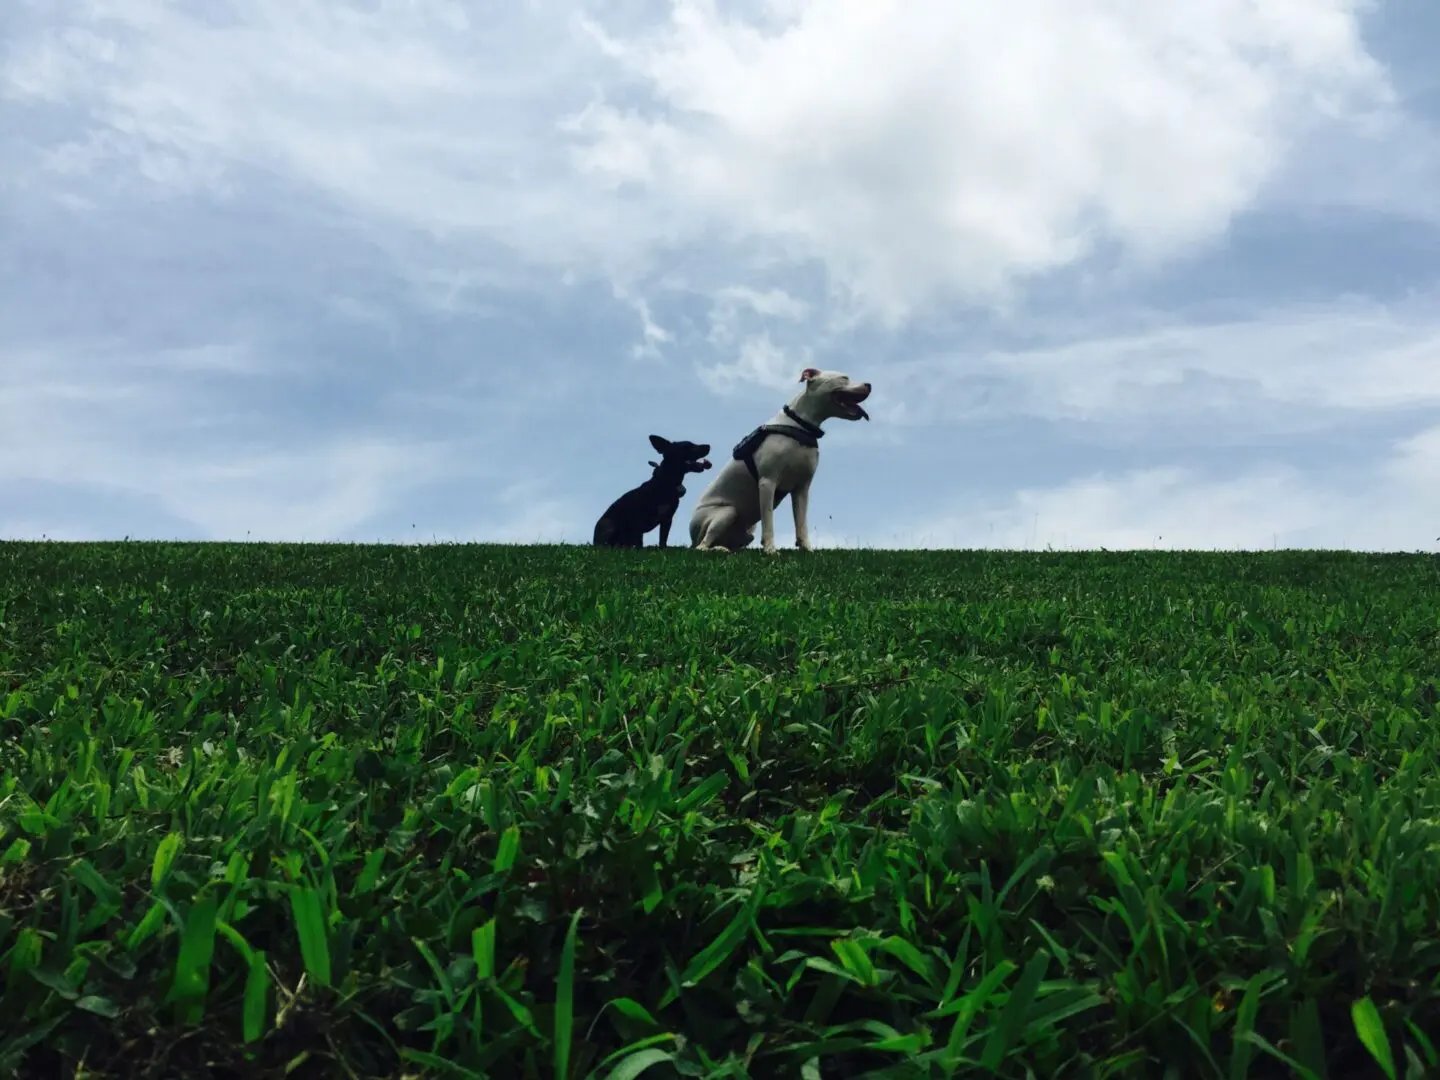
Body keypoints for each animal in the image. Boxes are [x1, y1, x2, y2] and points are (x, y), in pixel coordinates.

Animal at [691, 371, 869, 558]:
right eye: (844, 377)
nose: (869, 385)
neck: (800, 426)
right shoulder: (768, 482)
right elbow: (768, 521)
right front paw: (770, 550)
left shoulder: (801, 488)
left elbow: (801, 522)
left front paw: (807, 549)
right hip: (726, 512)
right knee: (701, 546)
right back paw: (715, 549)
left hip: (747, 533)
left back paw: (724, 549)